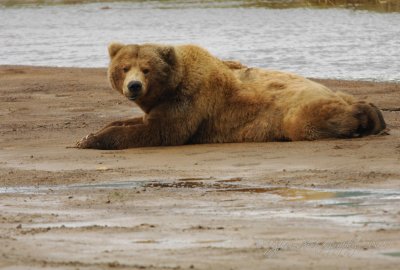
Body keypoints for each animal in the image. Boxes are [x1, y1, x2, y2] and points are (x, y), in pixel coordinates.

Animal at [76, 43, 386, 151]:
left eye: (147, 69)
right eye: (124, 67)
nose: (134, 86)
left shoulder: (191, 99)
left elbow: (159, 131)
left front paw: (90, 141)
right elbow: (134, 122)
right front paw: (89, 134)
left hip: (297, 107)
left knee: (305, 121)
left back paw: (362, 122)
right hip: (331, 92)